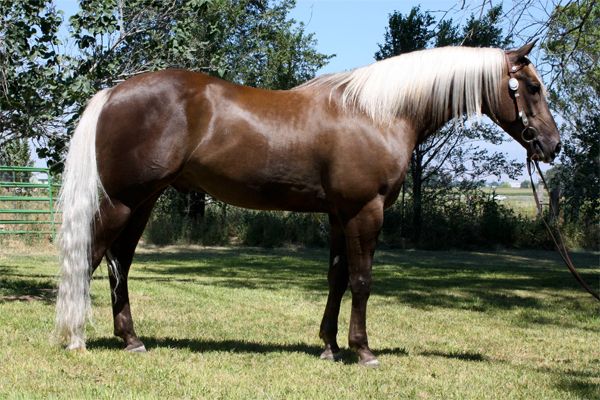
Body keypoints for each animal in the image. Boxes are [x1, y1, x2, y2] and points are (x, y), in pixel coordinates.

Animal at [54, 42, 560, 368]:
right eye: (532, 87)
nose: (552, 146)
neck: (377, 113)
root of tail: (113, 93)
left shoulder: (339, 215)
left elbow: (336, 278)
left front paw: (329, 347)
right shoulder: (365, 210)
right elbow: (362, 280)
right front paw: (363, 351)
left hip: (143, 202)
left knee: (119, 262)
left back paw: (131, 340)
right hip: (122, 201)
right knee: (90, 258)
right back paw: (76, 339)